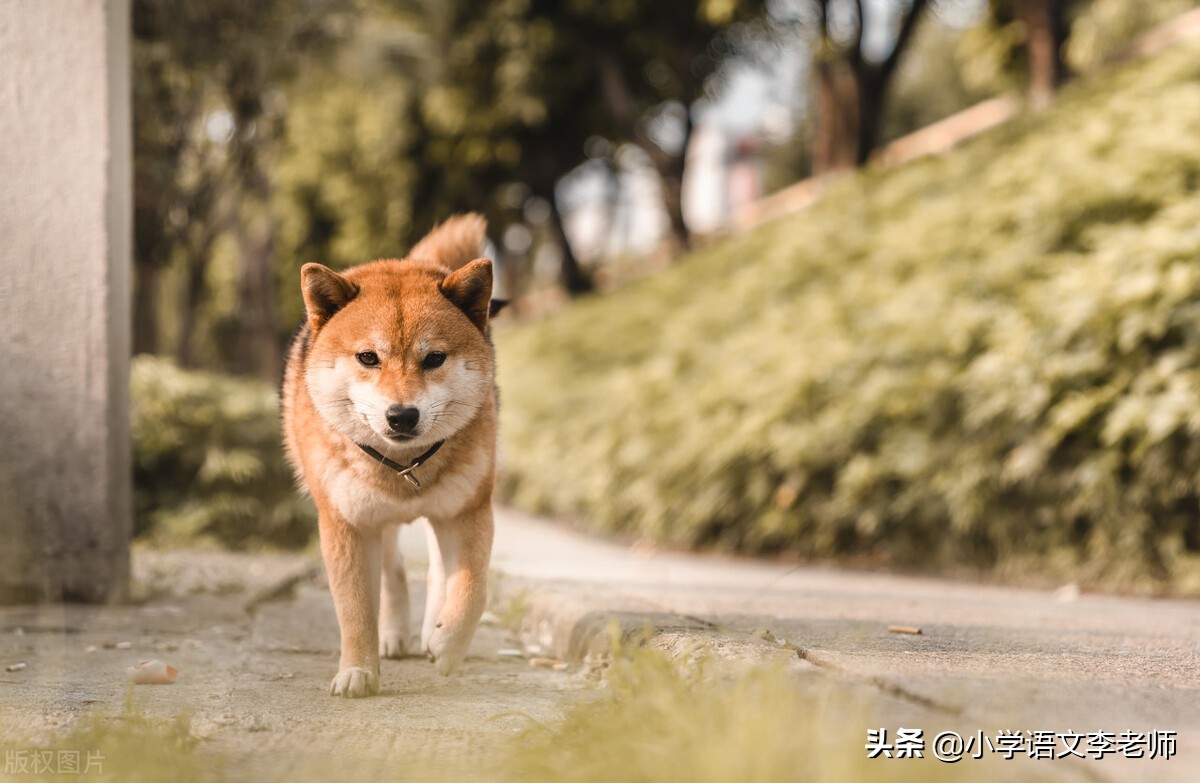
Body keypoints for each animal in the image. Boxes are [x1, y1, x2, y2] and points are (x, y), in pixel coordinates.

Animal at [283, 212, 499, 696]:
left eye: (434, 358)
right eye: (368, 357)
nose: (402, 415)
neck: (406, 468)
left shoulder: (470, 512)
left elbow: (473, 589)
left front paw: (448, 644)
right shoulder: (347, 524)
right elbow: (356, 610)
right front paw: (358, 671)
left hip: (444, 512)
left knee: (438, 571)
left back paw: (432, 627)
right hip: (375, 519)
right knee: (394, 570)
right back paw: (395, 634)